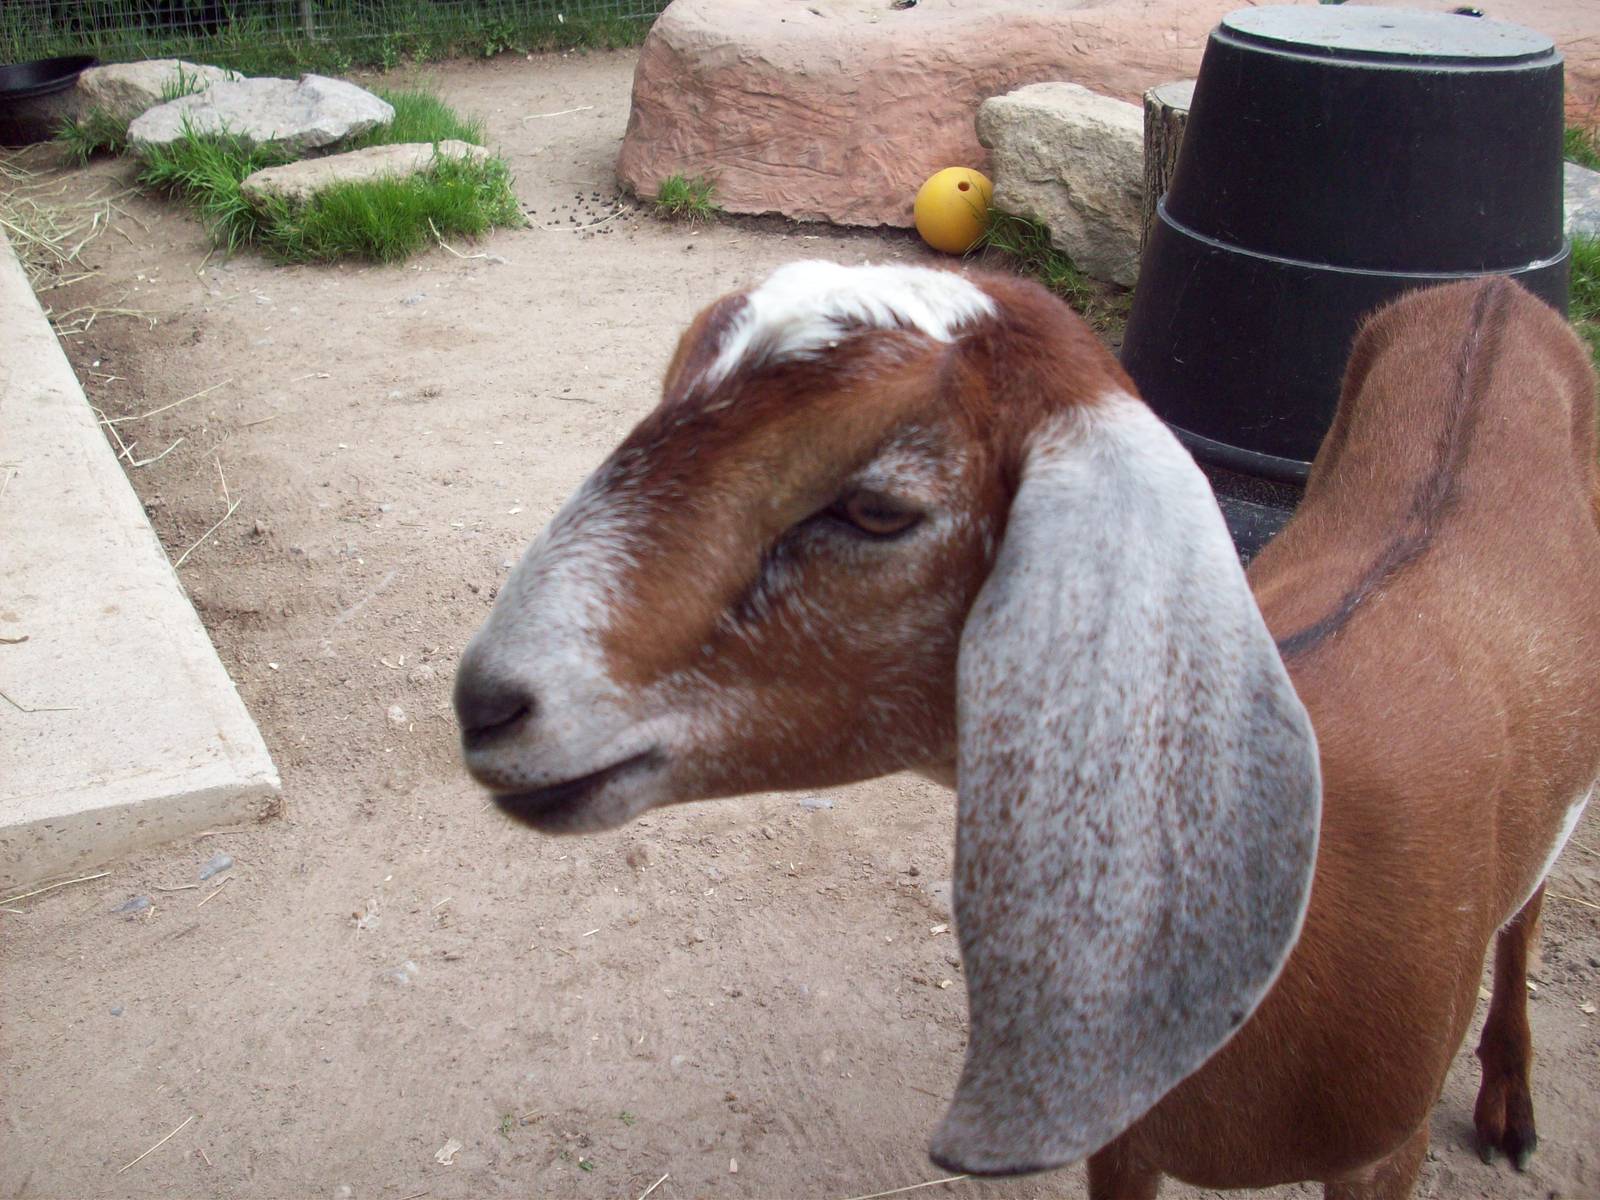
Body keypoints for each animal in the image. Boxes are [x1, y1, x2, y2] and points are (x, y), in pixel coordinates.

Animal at [454, 261, 1600, 1198]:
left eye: (878, 509)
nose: (485, 701)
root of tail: (1493, 290)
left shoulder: (1382, 1155)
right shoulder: (1122, 1144)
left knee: (1529, 911)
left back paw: (1510, 1105)